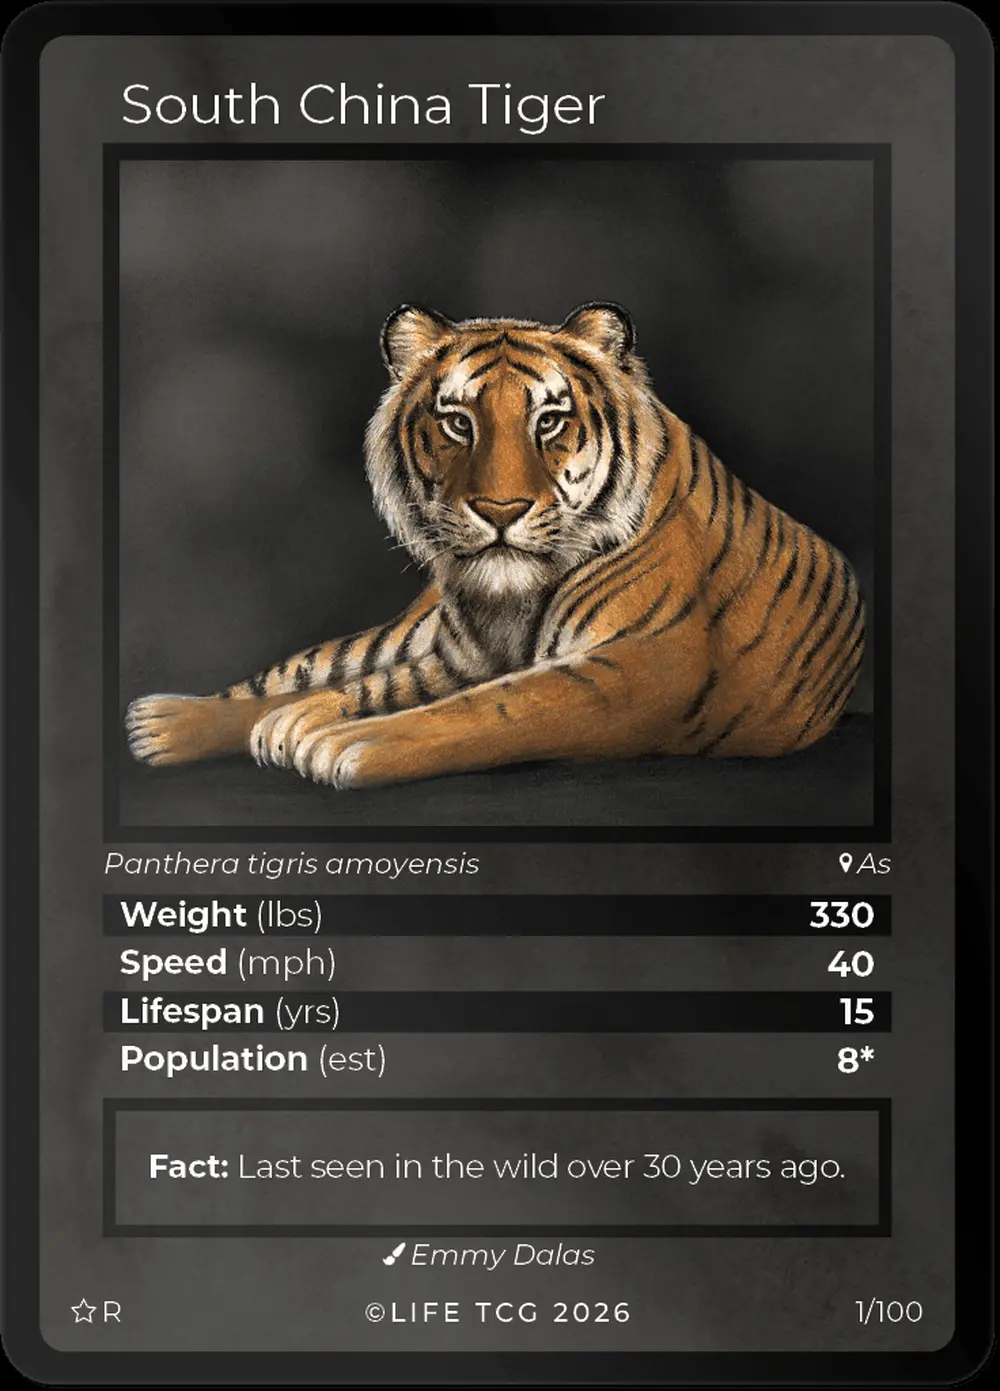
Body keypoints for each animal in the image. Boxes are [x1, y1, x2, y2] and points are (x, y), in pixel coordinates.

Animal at [126, 301, 866, 790]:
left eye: (551, 421)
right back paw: (159, 722)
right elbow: (364, 688)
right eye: (458, 422)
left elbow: (485, 710)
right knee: (301, 670)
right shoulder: (460, 657)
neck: (511, 601)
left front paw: (336, 742)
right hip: (403, 632)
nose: (500, 511)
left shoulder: (637, 669)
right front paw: (296, 723)